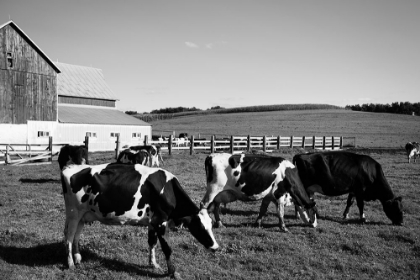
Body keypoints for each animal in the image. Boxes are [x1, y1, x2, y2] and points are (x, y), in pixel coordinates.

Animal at [58, 144, 220, 278]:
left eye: (211, 225)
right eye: (200, 227)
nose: (216, 247)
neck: (168, 190)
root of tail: (71, 168)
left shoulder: (153, 222)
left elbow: (152, 243)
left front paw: (153, 263)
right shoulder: (161, 221)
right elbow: (167, 248)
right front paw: (172, 272)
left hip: (82, 216)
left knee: (76, 236)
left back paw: (78, 258)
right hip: (73, 214)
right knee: (69, 237)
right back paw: (70, 263)